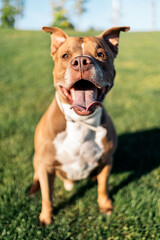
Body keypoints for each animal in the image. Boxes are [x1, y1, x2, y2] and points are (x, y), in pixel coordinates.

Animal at [29, 26, 130, 225]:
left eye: (101, 54)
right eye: (65, 56)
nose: (81, 61)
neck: (81, 121)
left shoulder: (107, 160)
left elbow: (103, 187)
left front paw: (105, 206)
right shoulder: (45, 164)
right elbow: (47, 194)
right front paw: (46, 217)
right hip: (37, 160)